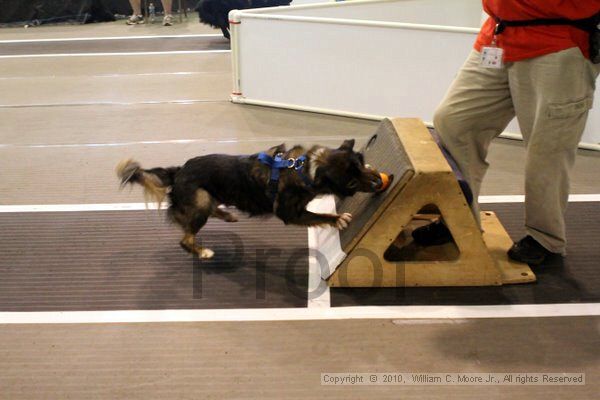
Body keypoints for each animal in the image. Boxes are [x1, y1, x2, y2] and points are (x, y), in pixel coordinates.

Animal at [115, 141, 382, 258]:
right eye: (351, 183)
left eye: (360, 163)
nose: (379, 182)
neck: (306, 170)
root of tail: (178, 171)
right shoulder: (289, 213)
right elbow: (320, 215)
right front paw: (338, 219)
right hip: (200, 200)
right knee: (185, 239)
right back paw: (203, 252)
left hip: (208, 198)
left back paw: (227, 214)